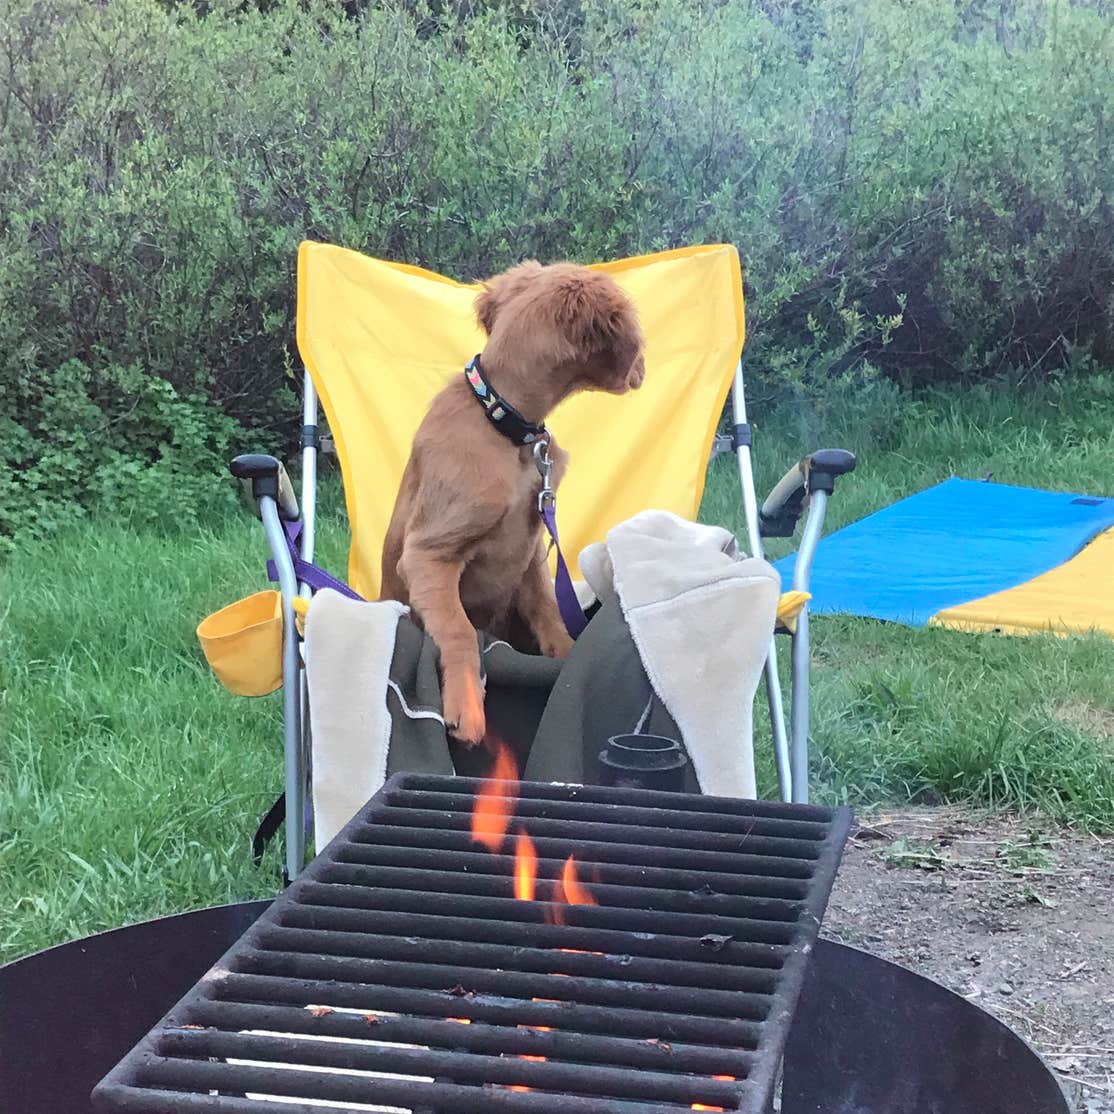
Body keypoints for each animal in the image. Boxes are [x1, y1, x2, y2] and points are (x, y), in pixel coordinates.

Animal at [380, 260, 646, 744]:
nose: (642, 370)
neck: (503, 421)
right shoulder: (428, 554)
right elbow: (460, 629)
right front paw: (466, 705)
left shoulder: (530, 549)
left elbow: (549, 609)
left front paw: (564, 655)